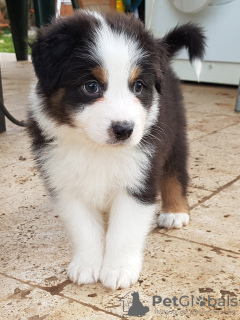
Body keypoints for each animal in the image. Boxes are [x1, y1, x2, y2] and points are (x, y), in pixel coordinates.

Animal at [27, 10, 205, 290]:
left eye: (138, 86)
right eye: (91, 86)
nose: (124, 130)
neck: (96, 148)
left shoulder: (139, 177)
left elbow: (124, 231)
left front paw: (118, 270)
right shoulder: (65, 184)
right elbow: (85, 230)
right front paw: (86, 266)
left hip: (174, 135)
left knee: (175, 174)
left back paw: (175, 212)